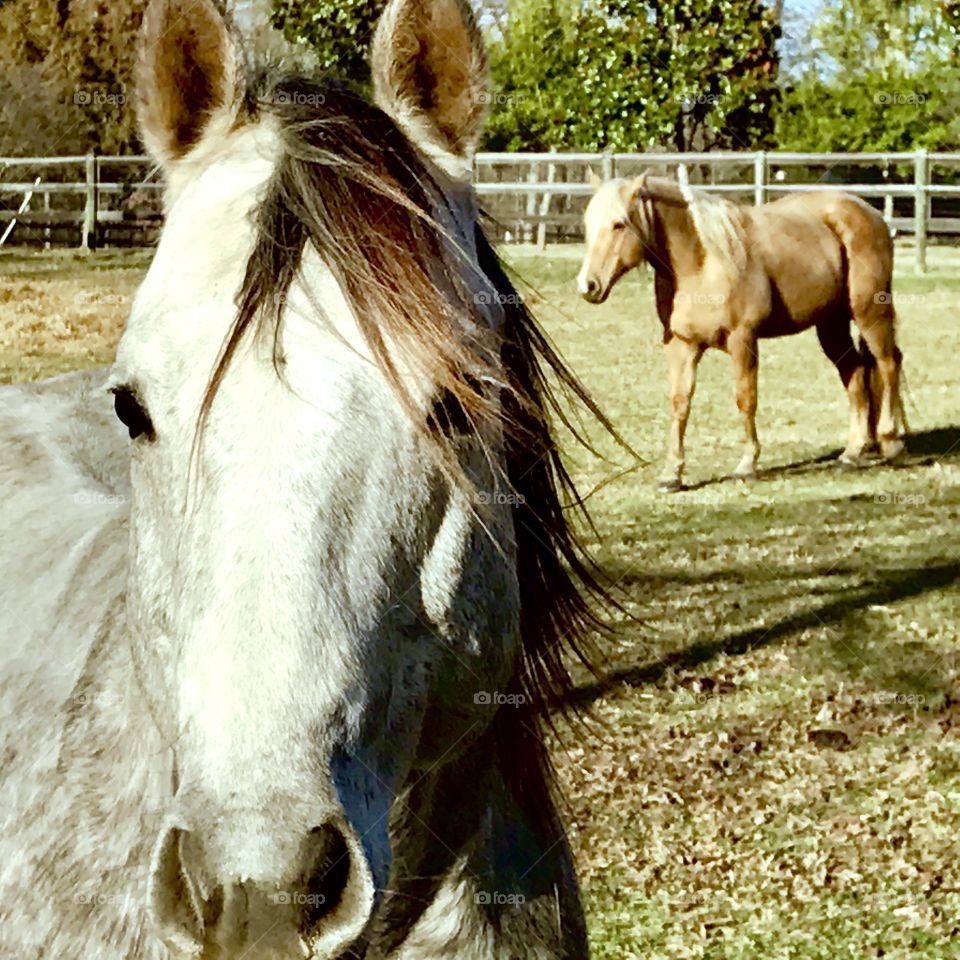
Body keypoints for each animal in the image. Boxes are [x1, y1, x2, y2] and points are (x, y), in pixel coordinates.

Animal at [576, 169, 908, 492]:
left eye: (619, 224)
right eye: (587, 224)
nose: (588, 285)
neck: (704, 262)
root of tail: (870, 213)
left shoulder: (742, 339)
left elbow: (745, 398)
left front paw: (746, 466)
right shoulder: (682, 345)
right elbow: (680, 404)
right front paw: (672, 474)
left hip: (869, 313)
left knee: (889, 363)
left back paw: (890, 440)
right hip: (831, 324)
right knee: (855, 374)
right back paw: (851, 454)